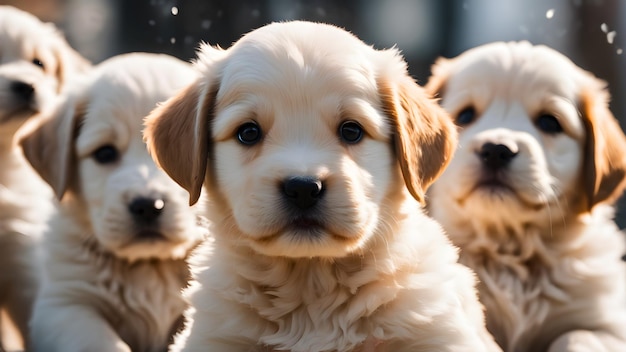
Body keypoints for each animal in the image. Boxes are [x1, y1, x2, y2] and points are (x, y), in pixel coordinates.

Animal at [424, 42, 624, 352]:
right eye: (466, 116)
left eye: (549, 122)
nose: (496, 149)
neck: (508, 247)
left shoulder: (608, 323)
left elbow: (578, 335)